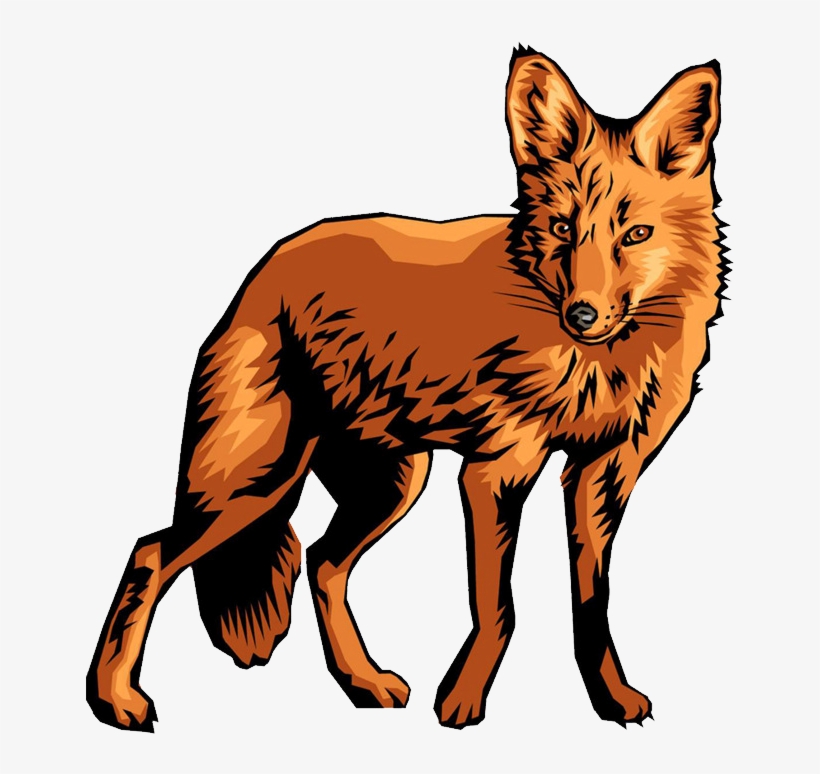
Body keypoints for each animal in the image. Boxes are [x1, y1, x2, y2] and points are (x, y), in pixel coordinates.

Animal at [87, 47, 725, 731]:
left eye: (634, 236)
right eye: (561, 229)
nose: (581, 315)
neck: (597, 367)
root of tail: (261, 271)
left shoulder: (604, 472)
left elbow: (591, 606)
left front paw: (610, 699)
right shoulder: (496, 470)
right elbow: (498, 608)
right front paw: (463, 703)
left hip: (391, 484)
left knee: (321, 562)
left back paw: (362, 683)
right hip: (256, 484)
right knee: (151, 554)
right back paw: (114, 699)